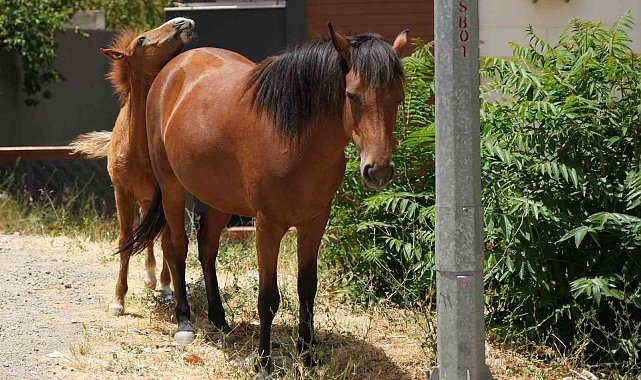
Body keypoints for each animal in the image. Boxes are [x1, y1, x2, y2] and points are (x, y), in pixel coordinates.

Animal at [71, 17, 194, 314]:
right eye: (141, 40)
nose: (181, 22)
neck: (137, 148)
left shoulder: (168, 196)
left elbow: (168, 243)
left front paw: (171, 290)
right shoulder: (122, 193)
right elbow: (126, 242)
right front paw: (118, 301)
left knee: (160, 238)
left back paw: (162, 283)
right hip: (143, 200)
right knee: (146, 236)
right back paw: (150, 278)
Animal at [123, 24, 408, 374]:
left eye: (398, 97)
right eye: (351, 95)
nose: (378, 171)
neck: (296, 140)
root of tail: (173, 67)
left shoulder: (314, 223)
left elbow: (307, 289)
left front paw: (308, 355)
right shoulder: (267, 226)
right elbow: (269, 298)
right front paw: (263, 363)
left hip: (219, 198)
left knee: (207, 246)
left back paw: (220, 322)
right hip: (173, 188)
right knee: (176, 247)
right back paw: (185, 323)